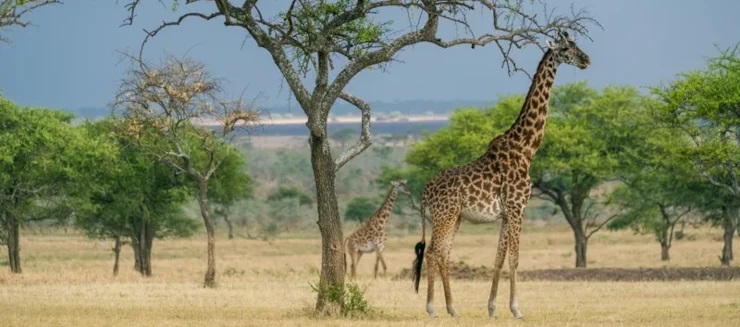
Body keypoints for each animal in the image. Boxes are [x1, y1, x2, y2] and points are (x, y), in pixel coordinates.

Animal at [410, 32, 588, 320]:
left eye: (576, 46)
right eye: (565, 49)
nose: (586, 59)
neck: (526, 148)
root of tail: (425, 190)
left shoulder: (506, 213)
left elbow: (499, 258)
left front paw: (492, 308)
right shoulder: (517, 207)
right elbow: (514, 258)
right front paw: (516, 309)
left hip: (454, 217)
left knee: (443, 253)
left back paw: (452, 308)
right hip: (444, 216)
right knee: (434, 253)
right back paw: (433, 308)